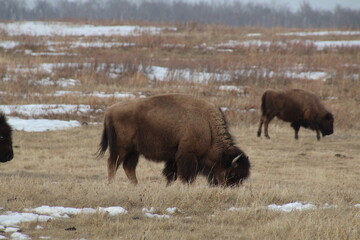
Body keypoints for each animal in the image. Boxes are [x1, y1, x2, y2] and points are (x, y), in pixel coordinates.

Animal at [97, 94, 252, 188]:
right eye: (232, 174)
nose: (230, 188)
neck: (208, 128)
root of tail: (110, 111)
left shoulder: (174, 158)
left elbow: (171, 174)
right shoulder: (187, 156)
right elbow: (186, 176)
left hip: (134, 151)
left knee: (128, 167)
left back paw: (136, 185)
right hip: (121, 148)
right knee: (113, 164)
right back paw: (111, 184)